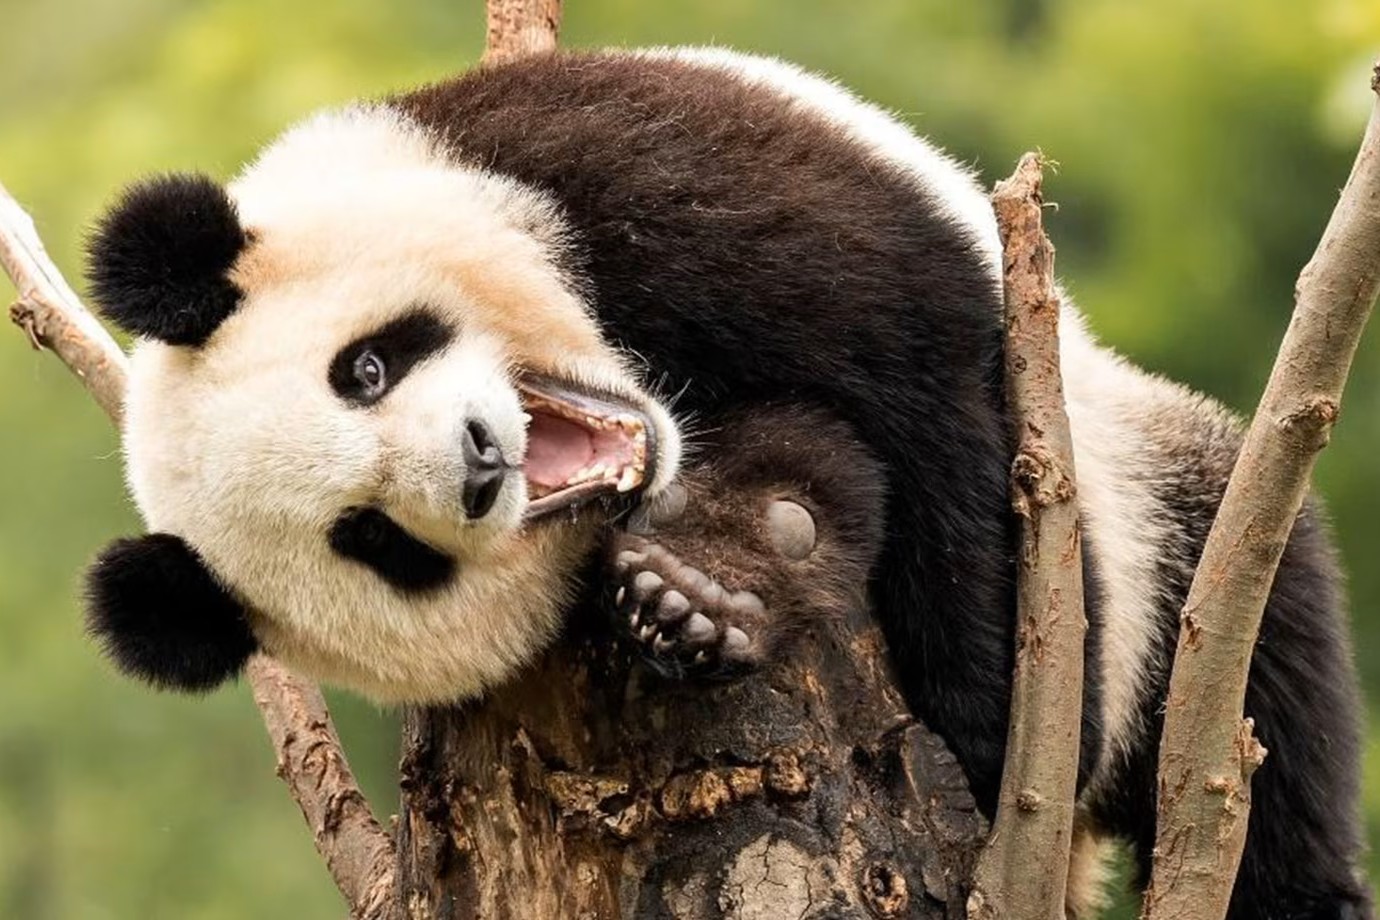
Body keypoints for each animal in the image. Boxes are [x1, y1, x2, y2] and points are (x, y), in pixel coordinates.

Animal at [80, 47, 1369, 918]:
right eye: (377, 541)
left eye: (365, 366)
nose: (481, 460)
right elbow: (817, 468)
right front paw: (701, 590)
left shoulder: (615, 168)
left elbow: (927, 377)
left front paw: (983, 703)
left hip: (1158, 486)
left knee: (1270, 653)